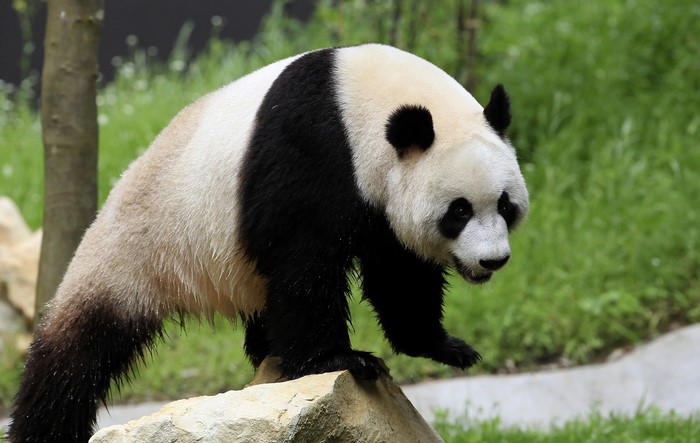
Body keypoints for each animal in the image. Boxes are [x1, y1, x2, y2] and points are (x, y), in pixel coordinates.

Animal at [9, 43, 528, 442]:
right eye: (459, 211)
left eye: (505, 205)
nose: (493, 260)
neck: (357, 99)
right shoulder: (313, 152)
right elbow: (303, 263)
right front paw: (343, 360)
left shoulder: (378, 202)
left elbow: (399, 272)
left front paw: (446, 347)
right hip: (133, 255)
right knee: (73, 360)